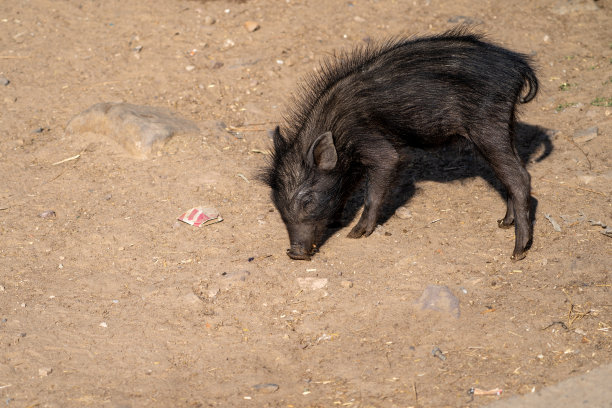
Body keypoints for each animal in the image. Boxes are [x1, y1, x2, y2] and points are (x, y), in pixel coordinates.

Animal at [260, 30, 536, 262]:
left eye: (307, 200)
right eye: (278, 205)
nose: (295, 254)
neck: (337, 132)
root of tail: (518, 66)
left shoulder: (375, 146)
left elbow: (375, 187)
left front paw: (355, 234)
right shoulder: (353, 164)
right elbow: (347, 189)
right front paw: (337, 222)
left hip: (487, 128)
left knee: (520, 177)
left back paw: (517, 253)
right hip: (505, 125)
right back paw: (503, 222)